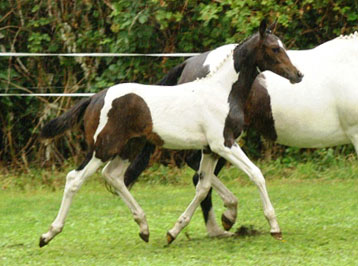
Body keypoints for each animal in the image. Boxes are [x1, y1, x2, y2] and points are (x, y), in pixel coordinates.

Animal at [39, 19, 302, 247]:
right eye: (274, 48)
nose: (298, 75)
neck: (222, 91)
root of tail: (95, 98)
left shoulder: (209, 149)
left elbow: (203, 187)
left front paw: (174, 231)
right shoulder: (224, 144)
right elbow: (256, 174)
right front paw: (274, 227)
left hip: (129, 147)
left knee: (113, 176)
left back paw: (144, 228)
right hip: (102, 147)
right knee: (74, 179)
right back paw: (48, 234)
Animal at [124, 31, 358, 237]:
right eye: (275, 49)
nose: (297, 75)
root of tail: (191, 62)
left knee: (199, 176)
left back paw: (219, 224)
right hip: (219, 140)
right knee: (197, 174)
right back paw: (221, 222)